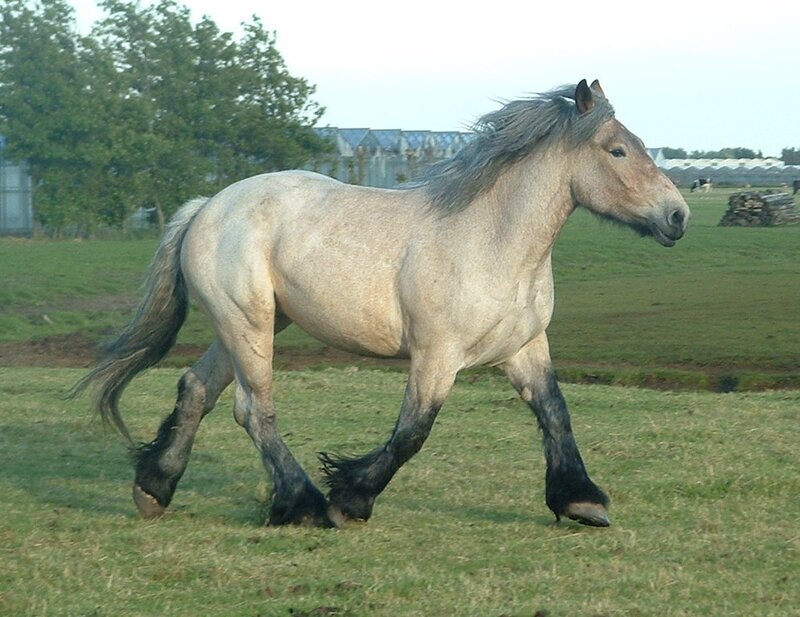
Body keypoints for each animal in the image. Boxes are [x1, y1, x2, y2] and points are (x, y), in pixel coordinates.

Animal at [73, 80, 690, 529]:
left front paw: (581, 502)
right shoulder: (436, 357)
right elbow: (413, 433)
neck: (493, 241)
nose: (678, 216)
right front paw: (350, 498)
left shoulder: (523, 348)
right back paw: (303, 505)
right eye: (617, 150)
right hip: (247, 323)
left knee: (197, 390)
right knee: (253, 409)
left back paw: (154, 489)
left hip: (246, 326)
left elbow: (556, 413)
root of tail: (206, 206)